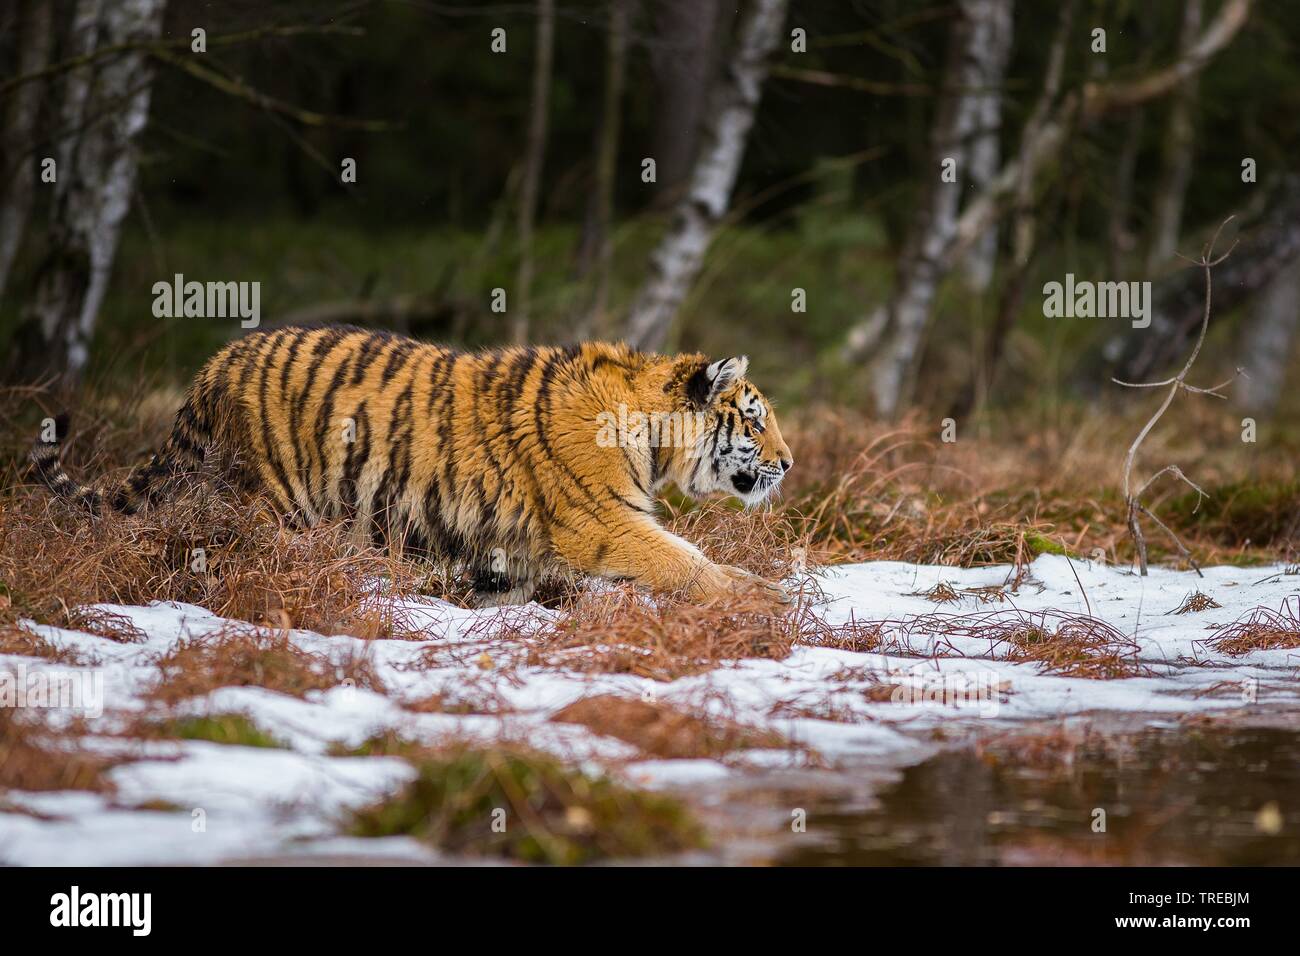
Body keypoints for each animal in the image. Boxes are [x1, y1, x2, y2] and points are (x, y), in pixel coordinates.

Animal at [30, 329, 790, 606]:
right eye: (754, 419)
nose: (789, 462)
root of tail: (215, 364)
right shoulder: (603, 524)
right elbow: (686, 560)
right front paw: (764, 599)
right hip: (274, 504)